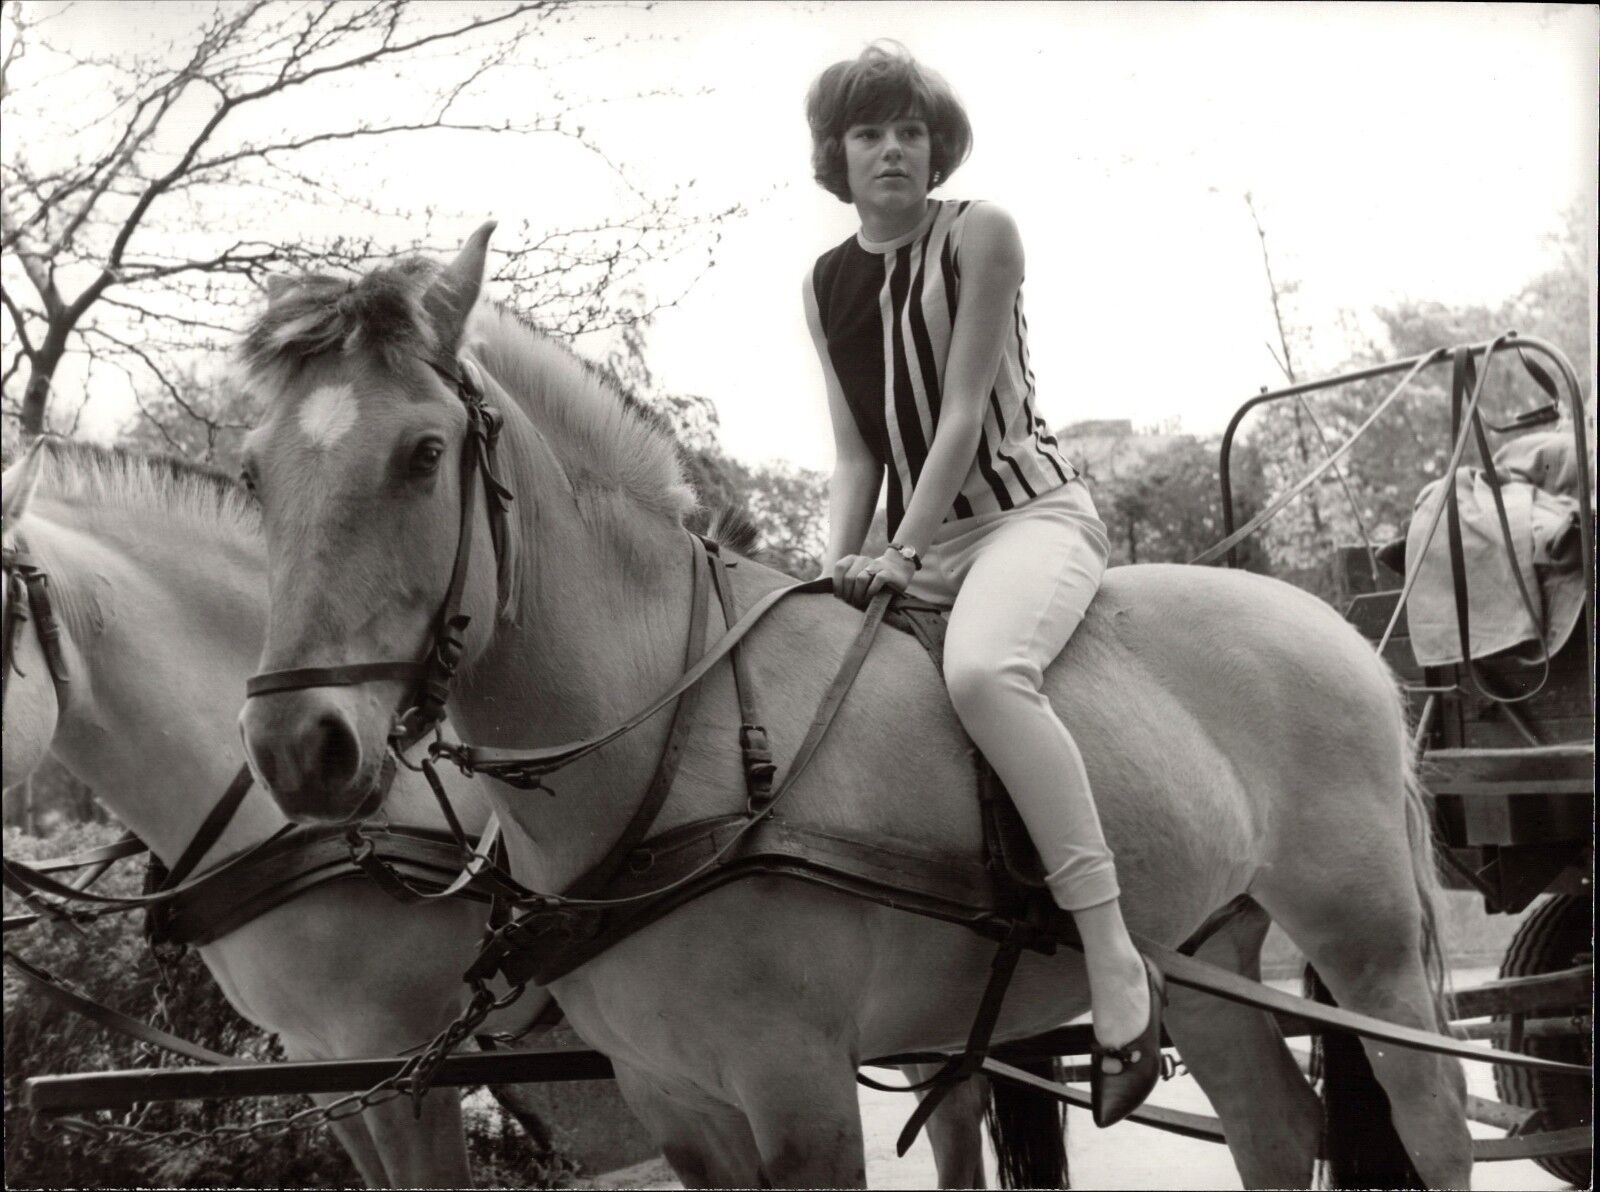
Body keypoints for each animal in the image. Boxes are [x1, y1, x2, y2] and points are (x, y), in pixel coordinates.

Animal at [232, 227, 1465, 1184]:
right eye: (251, 475)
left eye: (422, 453)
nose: (296, 743)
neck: (677, 734)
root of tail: (1334, 627)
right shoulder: (676, 1099)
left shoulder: (798, 1089)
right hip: (1210, 951)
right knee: (1275, 1126)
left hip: (1369, 953)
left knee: (1434, 1122)